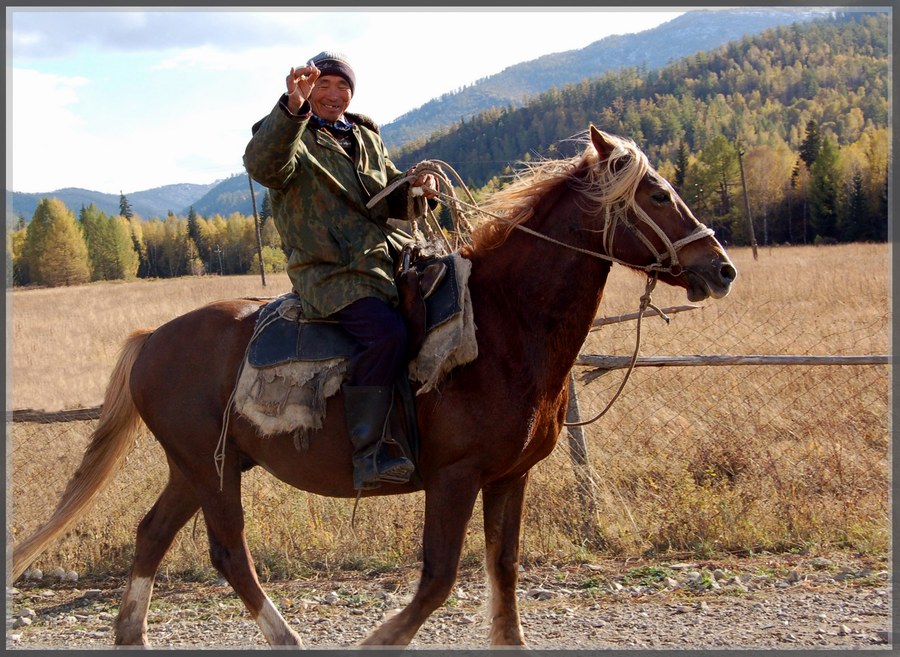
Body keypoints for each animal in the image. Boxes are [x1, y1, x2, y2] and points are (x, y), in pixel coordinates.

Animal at [10, 127, 736, 644]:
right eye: (657, 195)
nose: (722, 267)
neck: (503, 326)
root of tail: (152, 339)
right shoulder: (454, 476)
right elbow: (438, 579)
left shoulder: (509, 476)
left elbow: (502, 575)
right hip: (209, 471)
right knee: (228, 553)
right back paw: (286, 639)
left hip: (200, 465)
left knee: (152, 535)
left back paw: (132, 634)